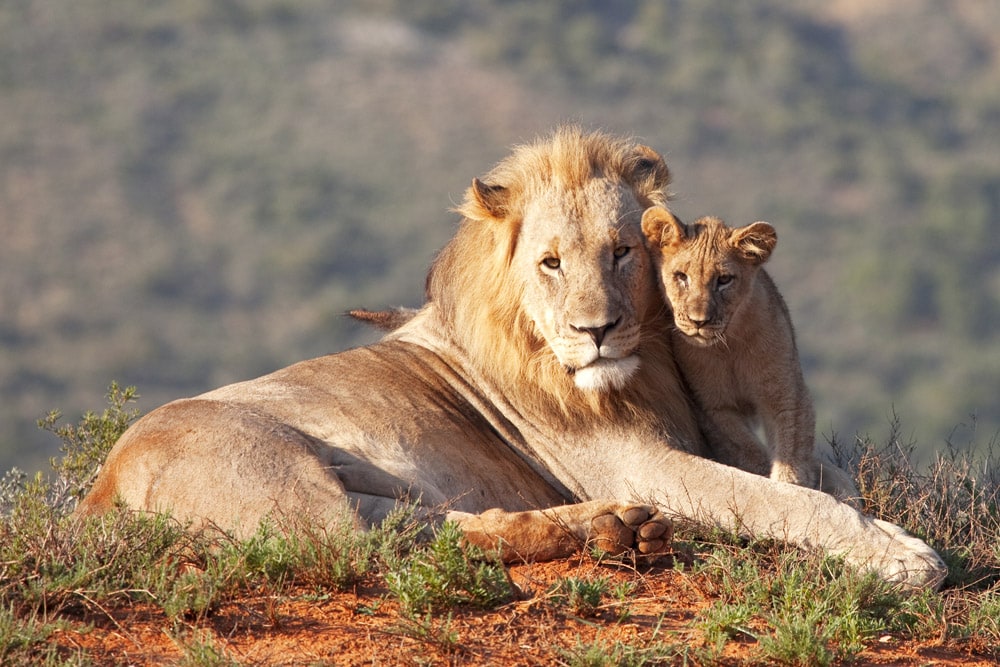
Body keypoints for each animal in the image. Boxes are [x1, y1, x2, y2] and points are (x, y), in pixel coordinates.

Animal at [78, 126, 944, 588]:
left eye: (622, 251)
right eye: (551, 262)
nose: (598, 329)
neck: (644, 369)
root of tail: (99, 489)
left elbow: (827, 479)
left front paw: (879, 523)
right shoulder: (635, 458)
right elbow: (787, 501)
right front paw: (904, 555)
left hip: (372, 488)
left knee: (434, 526)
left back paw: (615, 530)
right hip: (289, 488)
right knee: (380, 546)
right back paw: (614, 527)